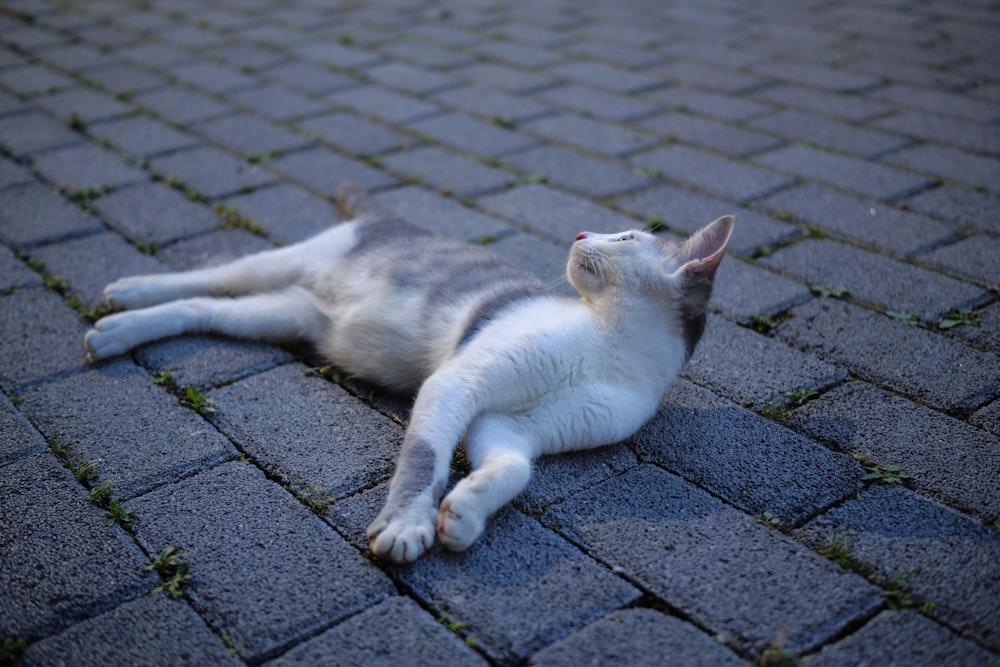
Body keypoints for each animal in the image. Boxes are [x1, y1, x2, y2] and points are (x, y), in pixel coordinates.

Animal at [84, 183, 736, 564]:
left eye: (624, 237)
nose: (579, 232)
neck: (607, 349)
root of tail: (394, 220)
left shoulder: (514, 427)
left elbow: (514, 467)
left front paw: (465, 513)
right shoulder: (460, 382)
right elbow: (425, 456)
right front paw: (405, 525)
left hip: (281, 313)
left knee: (204, 309)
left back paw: (125, 326)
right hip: (289, 263)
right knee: (212, 277)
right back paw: (128, 298)